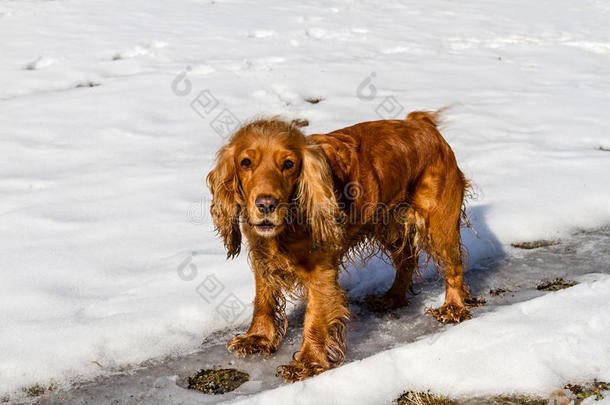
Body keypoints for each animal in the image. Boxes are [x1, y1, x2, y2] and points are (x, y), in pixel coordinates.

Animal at [204, 110, 476, 382]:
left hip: (438, 222)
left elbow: (314, 319)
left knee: (453, 265)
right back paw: (392, 297)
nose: (266, 204)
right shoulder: (262, 256)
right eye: (245, 162)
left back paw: (453, 307)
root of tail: (423, 125)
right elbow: (263, 300)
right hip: (386, 222)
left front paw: (307, 362)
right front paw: (258, 338)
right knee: (407, 258)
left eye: (289, 164)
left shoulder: (321, 272)